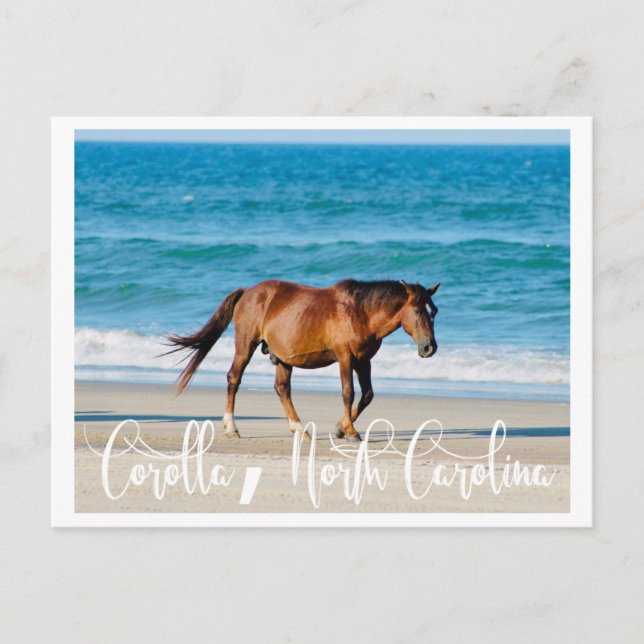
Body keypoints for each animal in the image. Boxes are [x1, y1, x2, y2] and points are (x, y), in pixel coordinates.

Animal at [165, 279, 440, 442]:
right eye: (417, 310)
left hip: (282, 358)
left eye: (434, 312)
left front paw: (341, 427)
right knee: (234, 378)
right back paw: (231, 427)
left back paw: (299, 428)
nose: (429, 347)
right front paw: (351, 431)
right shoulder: (345, 358)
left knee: (282, 389)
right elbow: (348, 393)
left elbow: (367, 395)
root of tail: (247, 293)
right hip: (245, 345)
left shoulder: (364, 360)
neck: (359, 311)